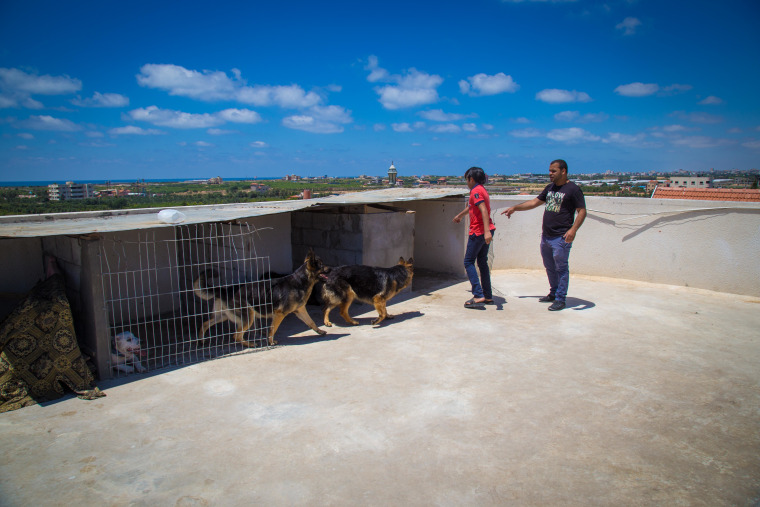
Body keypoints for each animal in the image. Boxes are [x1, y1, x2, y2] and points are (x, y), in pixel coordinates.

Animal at [191, 249, 328, 348]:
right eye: (322, 265)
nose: (331, 268)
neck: (301, 280)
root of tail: (224, 289)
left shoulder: (300, 311)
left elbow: (311, 322)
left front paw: (320, 331)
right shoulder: (279, 314)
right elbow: (273, 329)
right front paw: (271, 342)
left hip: (222, 316)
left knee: (205, 324)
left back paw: (201, 340)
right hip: (248, 317)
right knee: (236, 336)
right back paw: (251, 344)